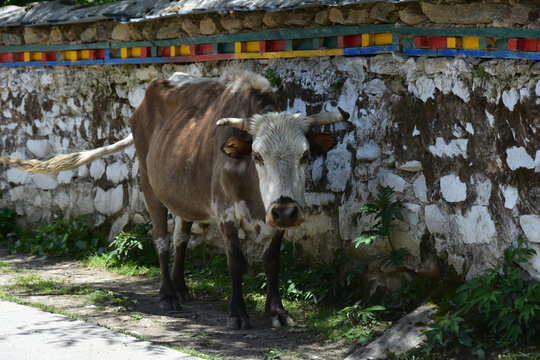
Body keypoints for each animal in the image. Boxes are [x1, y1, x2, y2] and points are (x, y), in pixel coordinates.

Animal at [1, 70, 350, 330]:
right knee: (162, 240)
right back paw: (168, 294)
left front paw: (277, 313)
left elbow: (272, 261)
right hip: (148, 184)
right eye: (258, 157)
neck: (253, 191)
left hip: (182, 194)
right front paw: (237, 313)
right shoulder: (225, 211)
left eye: (305, 156)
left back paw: (182, 287)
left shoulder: (275, 217)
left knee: (182, 237)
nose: (285, 210)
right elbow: (236, 262)